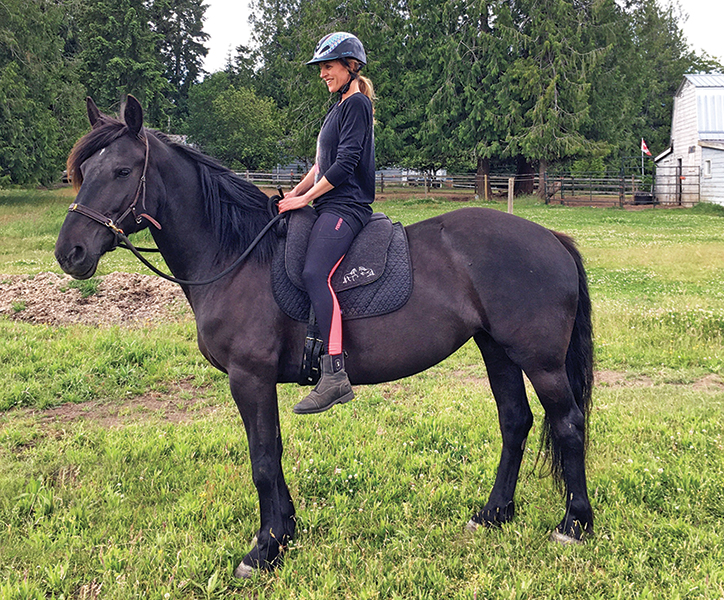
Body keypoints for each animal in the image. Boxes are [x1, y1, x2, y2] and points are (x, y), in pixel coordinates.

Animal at [55, 95, 594, 578]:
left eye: (122, 171)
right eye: (84, 171)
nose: (70, 252)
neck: (236, 254)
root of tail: (551, 238)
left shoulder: (249, 377)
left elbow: (262, 458)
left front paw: (263, 550)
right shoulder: (258, 382)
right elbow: (272, 453)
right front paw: (285, 533)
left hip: (540, 361)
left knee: (568, 423)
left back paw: (575, 524)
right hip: (497, 350)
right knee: (515, 422)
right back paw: (493, 514)